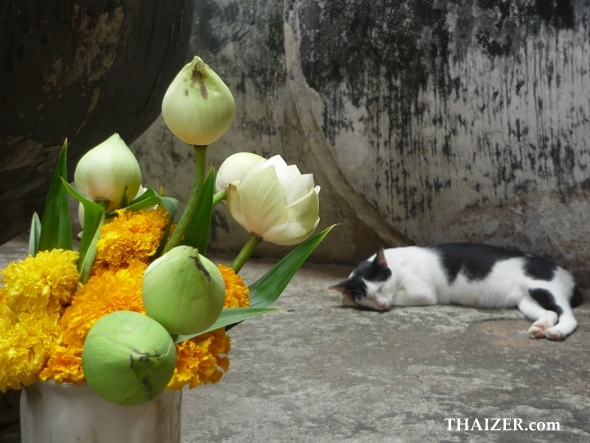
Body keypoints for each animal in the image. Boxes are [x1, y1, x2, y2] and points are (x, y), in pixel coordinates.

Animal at [330, 245, 584, 342]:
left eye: (381, 289)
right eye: (369, 298)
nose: (382, 305)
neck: (395, 264)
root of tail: (565, 272)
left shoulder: (423, 293)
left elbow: (399, 298)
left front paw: (347, 298)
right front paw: (349, 298)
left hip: (543, 288)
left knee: (568, 316)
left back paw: (557, 332)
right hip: (526, 301)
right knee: (550, 313)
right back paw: (541, 327)